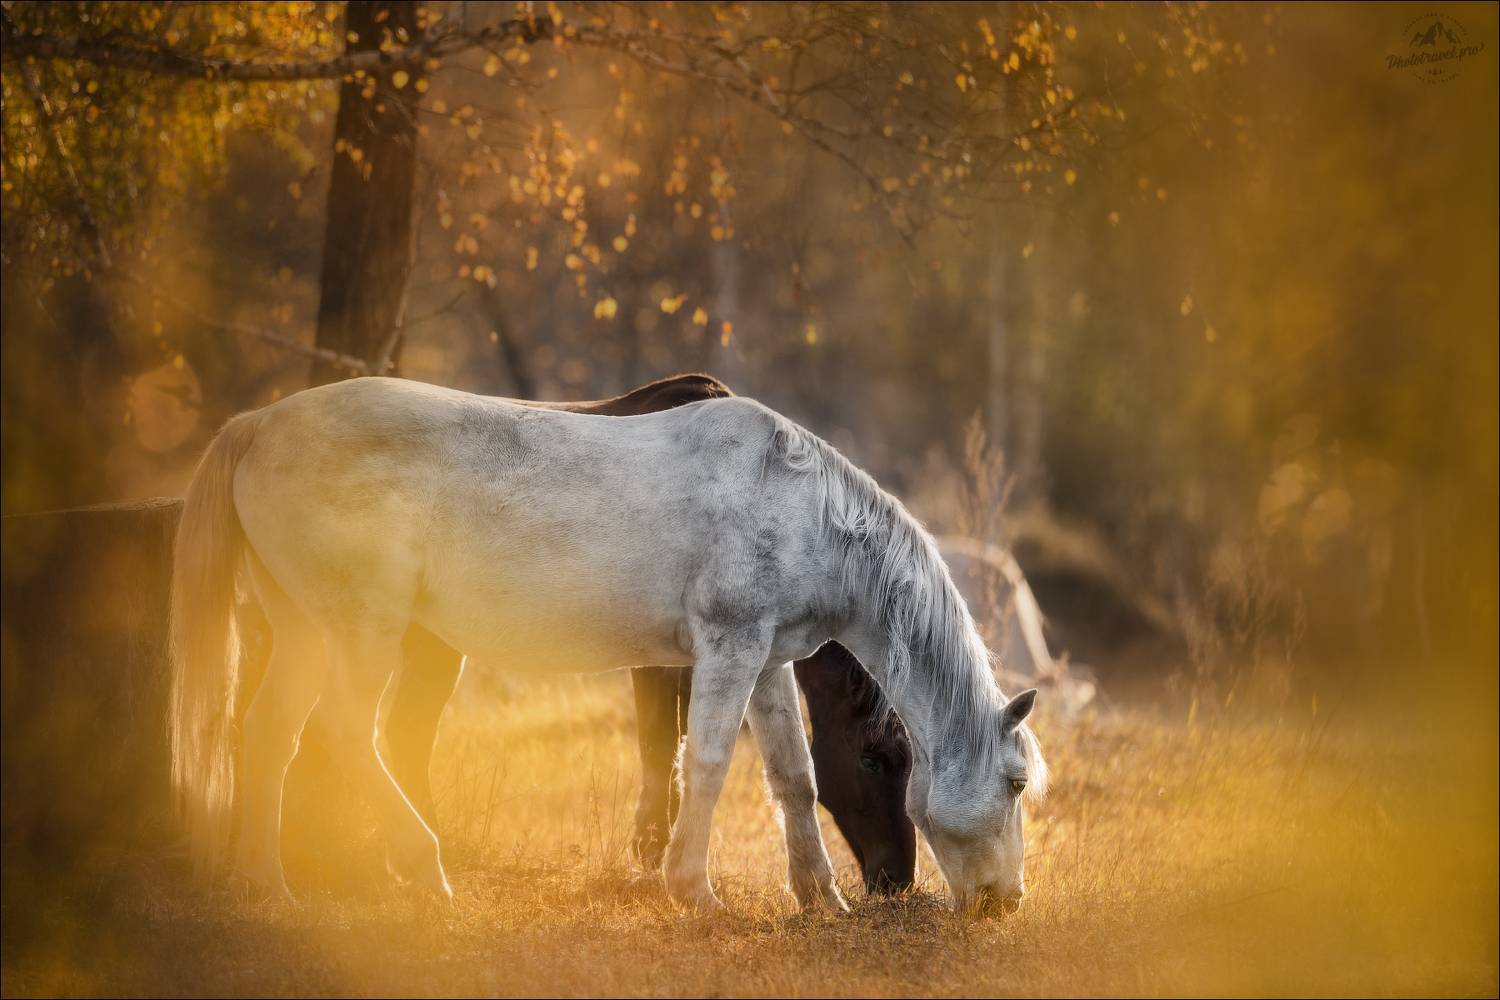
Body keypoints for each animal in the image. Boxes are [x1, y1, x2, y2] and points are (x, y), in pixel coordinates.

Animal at [169, 376, 1046, 912]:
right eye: (1015, 784)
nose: (1003, 905)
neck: (800, 507)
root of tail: (259, 425)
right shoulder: (726, 648)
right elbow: (706, 763)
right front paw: (691, 889)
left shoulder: (765, 660)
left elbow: (791, 777)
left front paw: (817, 897)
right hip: (364, 632)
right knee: (347, 735)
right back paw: (423, 868)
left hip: (304, 632)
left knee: (271, 735)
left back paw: (269, 881)